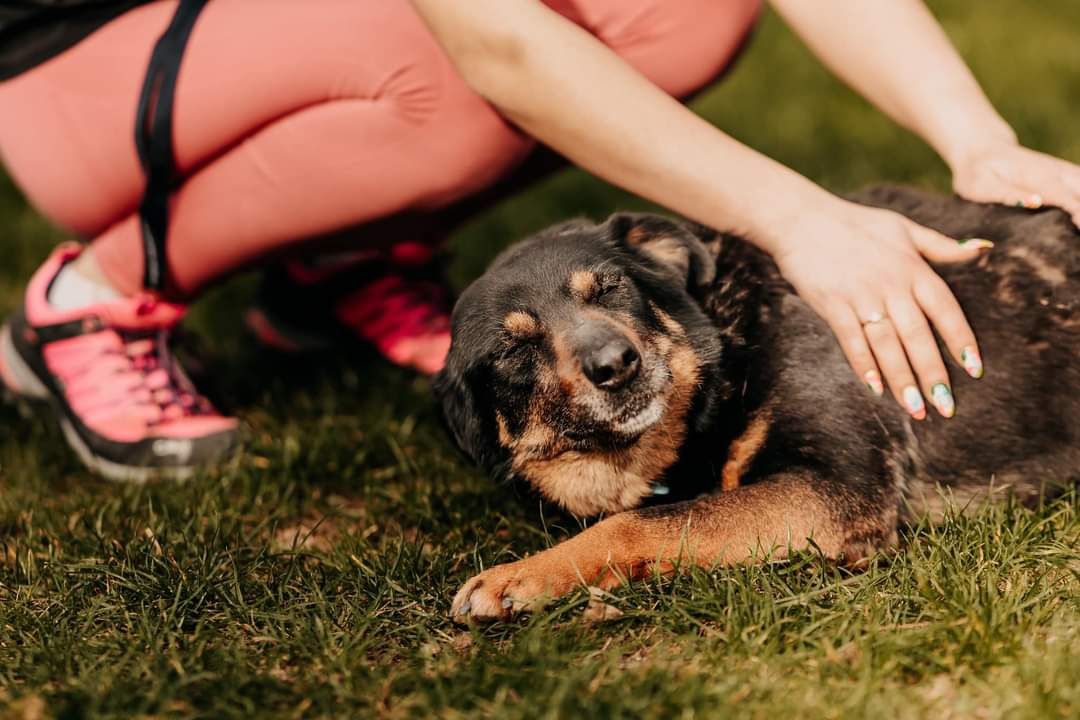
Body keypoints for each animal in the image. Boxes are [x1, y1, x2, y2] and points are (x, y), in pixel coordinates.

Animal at [432, 185, 1080, 621]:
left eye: (611, 288)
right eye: (515, 349)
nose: (616, 364)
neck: (726, 354)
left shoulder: (834, 487)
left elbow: (638, 522)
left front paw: (516, 576)